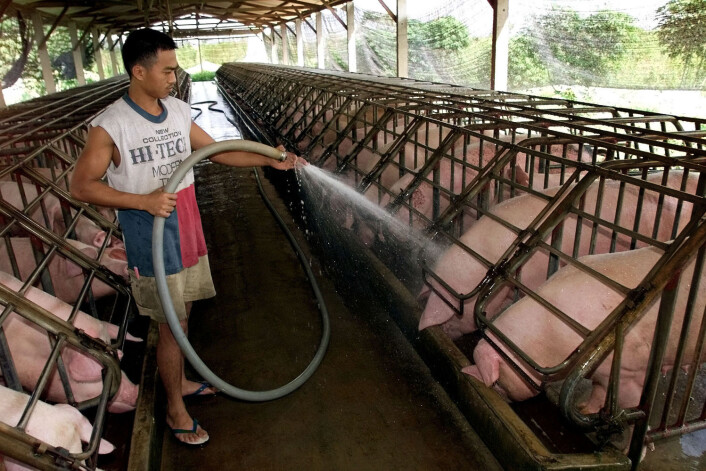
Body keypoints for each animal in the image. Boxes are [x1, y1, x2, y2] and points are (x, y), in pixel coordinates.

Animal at [462, 243, 704, 416]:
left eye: (497, 381)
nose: (469, 372)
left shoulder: (631, 370)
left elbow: (630, 404)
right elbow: (598, 391)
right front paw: (583, 409)